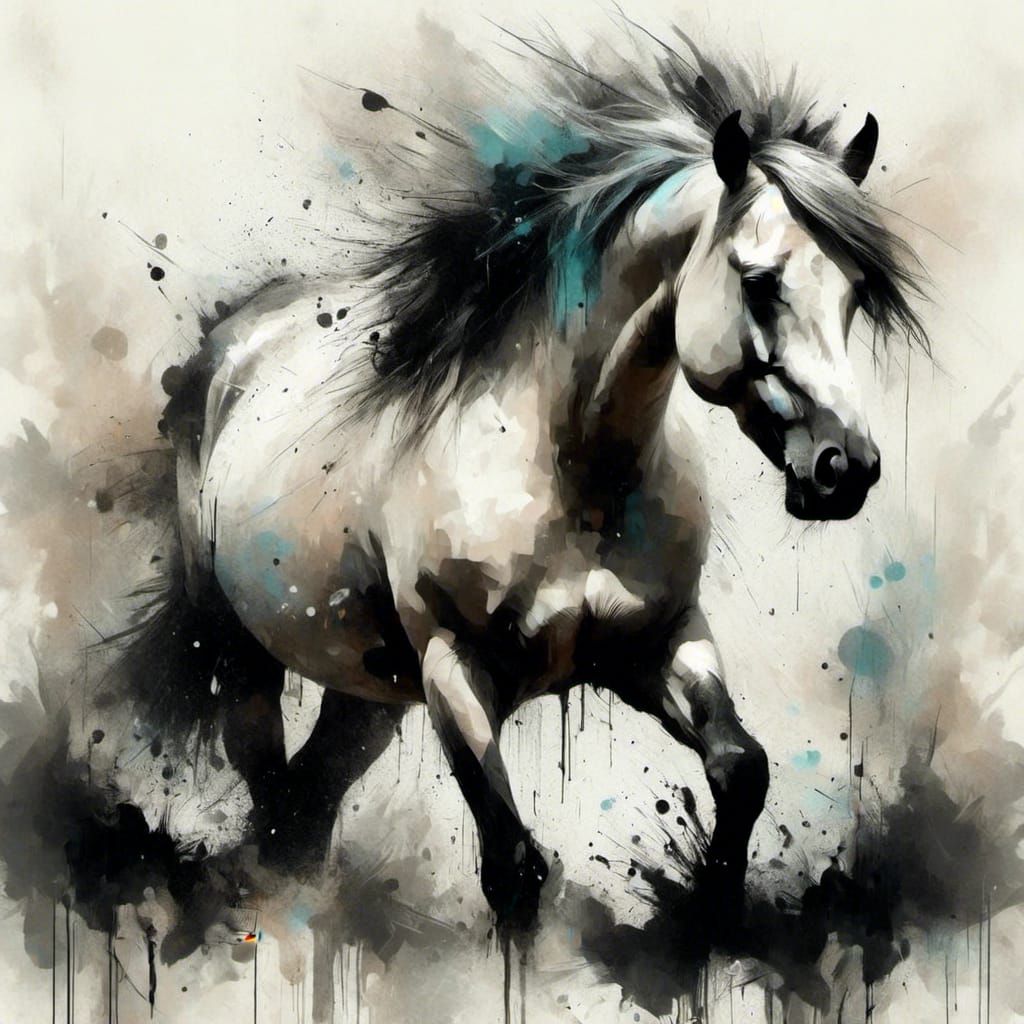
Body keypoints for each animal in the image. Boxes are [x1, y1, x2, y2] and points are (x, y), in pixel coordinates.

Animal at [139, 39, 927, 935]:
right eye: (759, 280)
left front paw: (714, 920)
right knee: (271, 788)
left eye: (855, 294)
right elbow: (514, 866)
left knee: (307, 801)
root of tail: (229, 345)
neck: (571, 471)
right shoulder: (456, 672)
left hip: (370, 689)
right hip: (240, 656)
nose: (845, 468)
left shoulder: (661, 643)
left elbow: (742, 766)